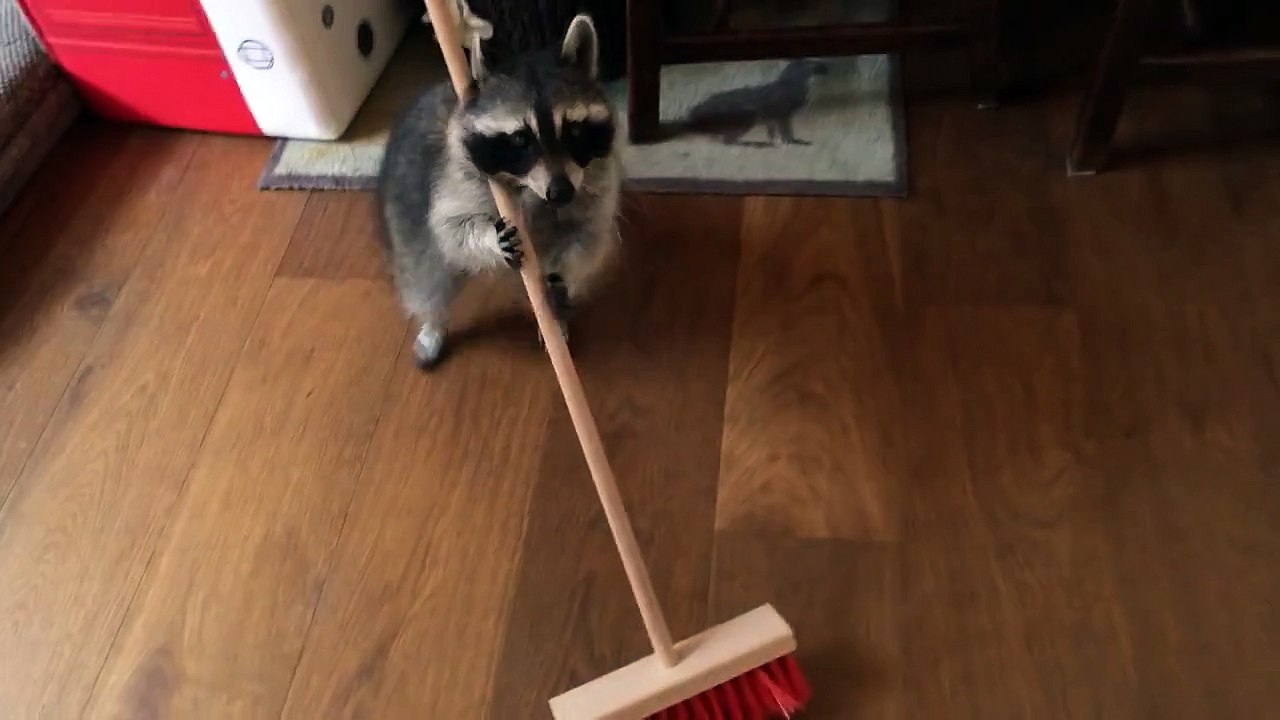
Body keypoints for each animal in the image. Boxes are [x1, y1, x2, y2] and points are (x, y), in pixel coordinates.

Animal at [377, 13, 622, 370]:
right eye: (520, 139)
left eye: (574, 131)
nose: (561, 192)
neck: (530, 189)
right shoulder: (457, 178)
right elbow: (451, 228)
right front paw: (490, 238)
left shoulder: (596, 185)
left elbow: (587, 239)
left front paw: (563, 276)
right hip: (406, 213)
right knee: (426, 276)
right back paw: (434, 322)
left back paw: (557, 317)